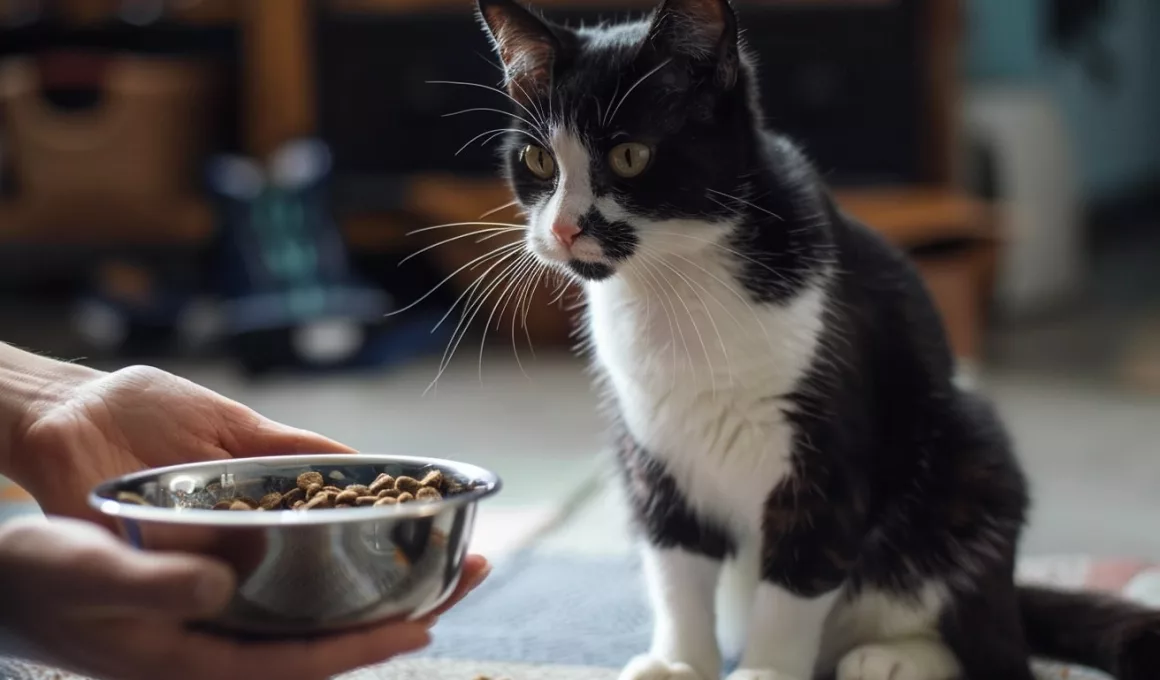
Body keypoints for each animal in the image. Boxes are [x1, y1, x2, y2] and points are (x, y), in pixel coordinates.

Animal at [473, 1, 1160, 677]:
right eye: (538, 161)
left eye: (630, 157)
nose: (563, 229)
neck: (675, 288)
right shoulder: (651, 448)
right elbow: (676, 565)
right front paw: (680, 662)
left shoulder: (828, 449)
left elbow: (797, 578)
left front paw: (766, 672)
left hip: (972, 457)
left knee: (987, 643)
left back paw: (892, 658)